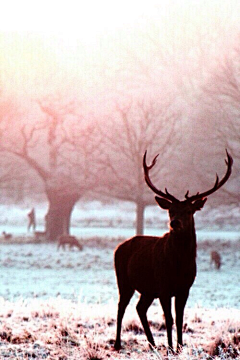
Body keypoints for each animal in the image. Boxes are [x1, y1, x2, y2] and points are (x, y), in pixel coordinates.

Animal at [114, 150, 232, 352]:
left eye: (189, 211)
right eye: (170, 210)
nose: (174, 222)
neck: (179, 265)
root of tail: (118, 247)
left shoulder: (185, 288)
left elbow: (179, 319)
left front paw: (179, 347)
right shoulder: (163, 286)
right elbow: (168, 319)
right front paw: (170, 347)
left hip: (147, 289)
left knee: (140, 308)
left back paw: (152, 343)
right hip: (124, 280)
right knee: (122, 307)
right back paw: (117, 344)